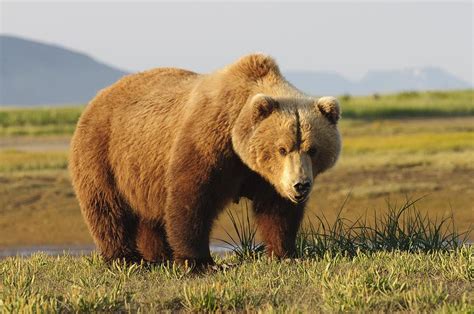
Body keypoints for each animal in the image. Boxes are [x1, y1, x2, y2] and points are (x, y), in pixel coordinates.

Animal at [69, 53, 340, 264]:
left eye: (313, 149)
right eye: (282, 148)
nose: (300, 185)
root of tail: (98, 96)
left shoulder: (267, 177)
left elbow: (277, 210)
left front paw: (284, 253)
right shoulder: (210, 143)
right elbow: (192, 198)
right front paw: (198, 261)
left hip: (143, 174)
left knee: (149, 215)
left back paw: (157, 256)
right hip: (103, 152)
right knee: (108, 208)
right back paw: (124, 257)